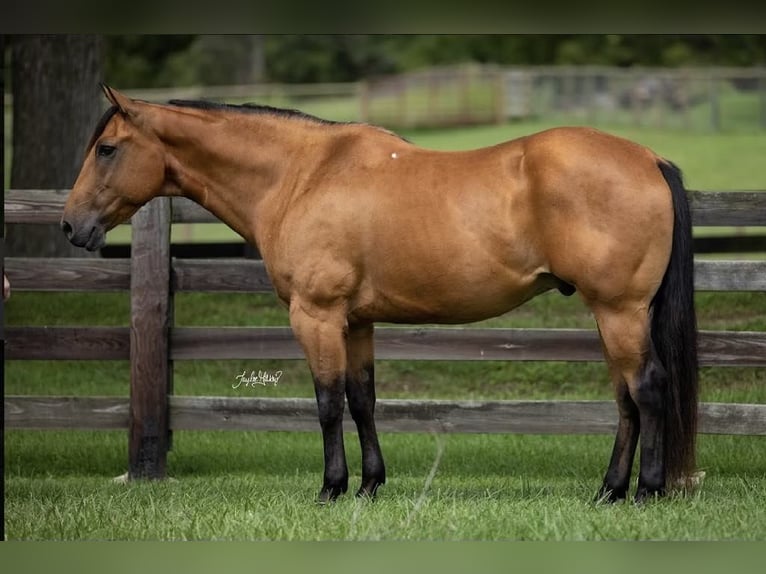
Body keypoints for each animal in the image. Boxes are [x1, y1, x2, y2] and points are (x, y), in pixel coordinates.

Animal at [64, 84, 704, 504]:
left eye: (106, 149)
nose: (72, 226)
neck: (302, 175)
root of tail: (649, 158)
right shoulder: (356, 322)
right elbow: (362, 399)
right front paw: (371, 484)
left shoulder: (316, 316)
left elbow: (326, 402)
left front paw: (331, 488)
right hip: (611, 316)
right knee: (625, 399)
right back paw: (609, 490)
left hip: (619, 312)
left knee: (647, 389)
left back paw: (645, 491)